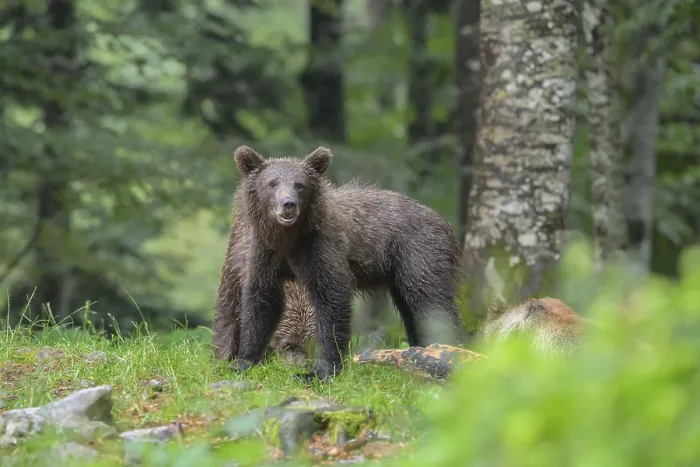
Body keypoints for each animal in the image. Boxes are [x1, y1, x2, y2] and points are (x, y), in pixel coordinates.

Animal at [213, 145, 467, 381]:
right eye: (271, 183)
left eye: (299, 184)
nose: (288, 203)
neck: (289, 239)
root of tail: (445, 224)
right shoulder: (264, 255)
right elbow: (262, 302)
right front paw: (242, 361)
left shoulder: (322, 251)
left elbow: (331, 302)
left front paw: (322, 370)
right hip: (400, 273)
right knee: (413, 311)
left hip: (418, 253)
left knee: (432, 304)